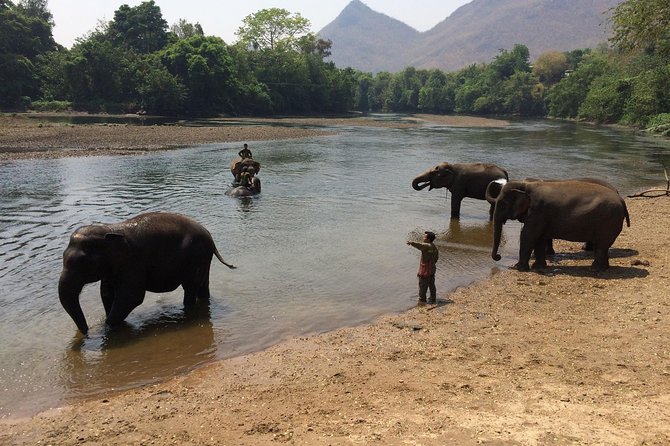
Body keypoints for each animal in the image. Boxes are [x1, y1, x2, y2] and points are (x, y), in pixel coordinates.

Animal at [58, 213, 236, 334]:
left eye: (82, 263)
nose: (86, 332)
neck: (110, 229)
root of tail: (210, 236)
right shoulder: (113, 268)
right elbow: (107, 294)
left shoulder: (133, 263)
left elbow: (131, 296)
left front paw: (107, 328)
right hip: (202, 259)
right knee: (202, 285)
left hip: (196, 257)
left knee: (190, 287)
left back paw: (188, 310)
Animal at [494, 179, 632, 270]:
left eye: (502, 205)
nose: (499, 256)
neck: (525, 185)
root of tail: (622, 200)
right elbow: (539, 238)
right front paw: (538, 267)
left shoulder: (538, 211)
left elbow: (528, 235)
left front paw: (516, 268)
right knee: (603, 246)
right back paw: (603, 268)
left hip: (608, 221)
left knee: (602, 245)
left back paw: (594, 269)